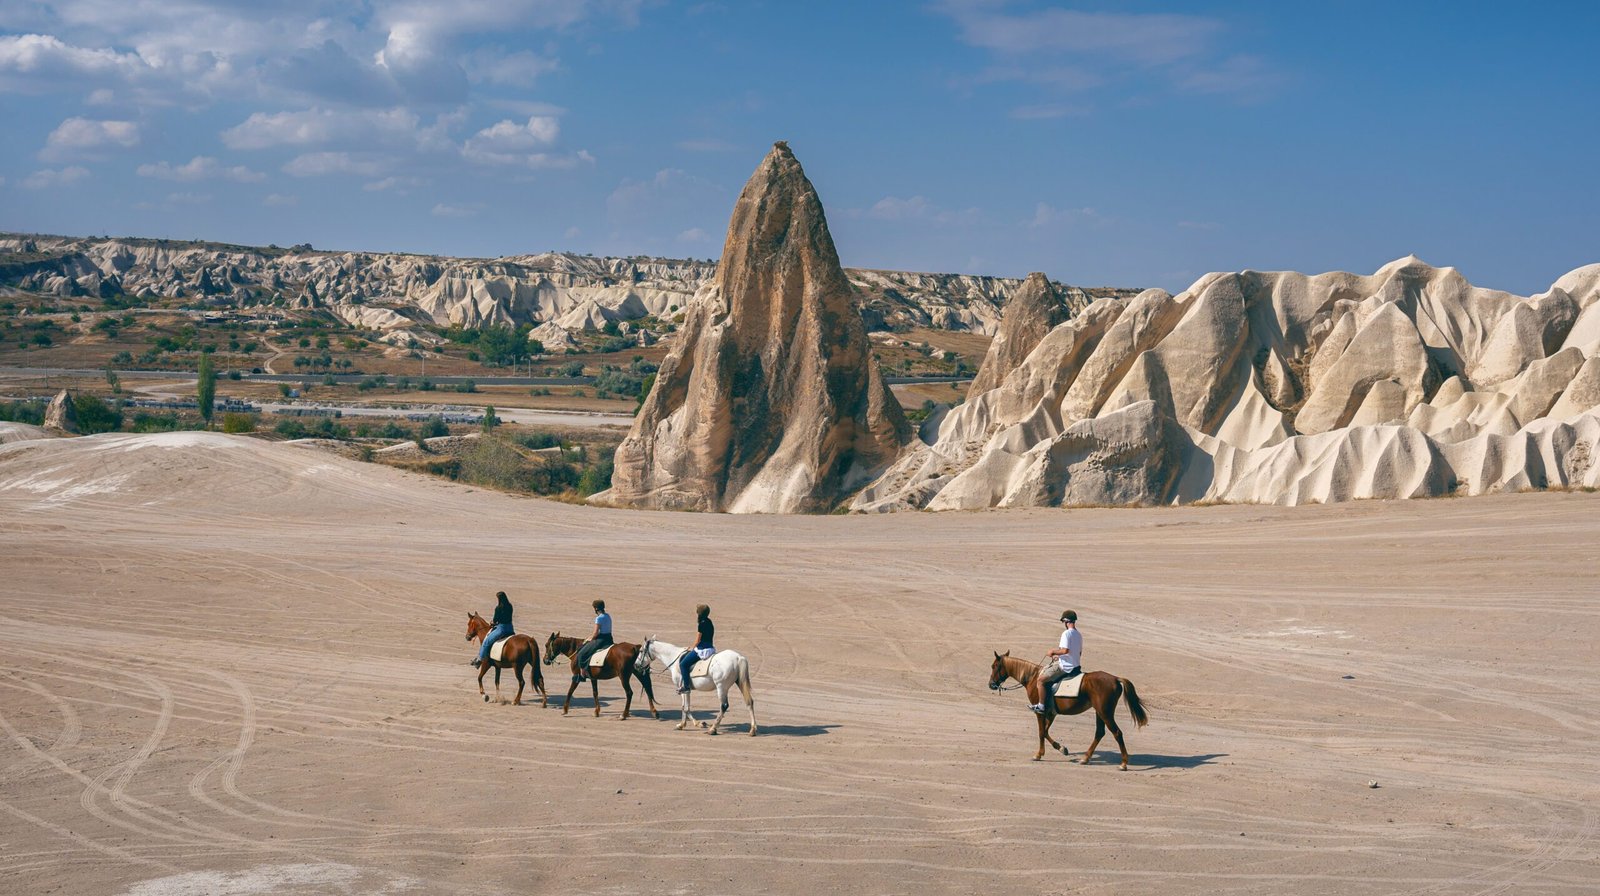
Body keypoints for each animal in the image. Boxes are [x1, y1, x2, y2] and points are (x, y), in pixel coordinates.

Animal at [987, 650, 1148, 768]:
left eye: (994, 666)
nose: (991, 684)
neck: (1033, 677)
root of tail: (1115, 678)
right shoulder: (1051, 713)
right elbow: (1046, 731)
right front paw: (1061, 748)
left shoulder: (1040, 711)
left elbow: (1041, 732)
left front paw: (1038, 754)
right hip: (1099, 712)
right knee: (1099, 733)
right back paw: (1085, 758)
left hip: (1105, 713)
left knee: (1117, 733)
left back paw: (1123, 763)